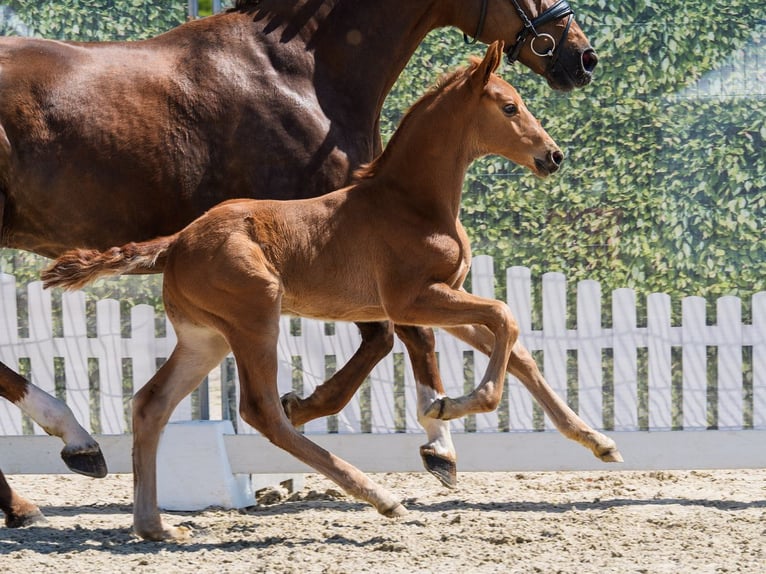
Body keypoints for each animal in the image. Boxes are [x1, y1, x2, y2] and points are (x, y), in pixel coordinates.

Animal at [1, 0, 609, 519]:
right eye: (509, 106)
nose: (582, 58)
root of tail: (176, 243)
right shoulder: (411, 297)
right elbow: (441, 334)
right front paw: (440, 427)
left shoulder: (440, 294)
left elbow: (510, 345)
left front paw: (596, 441)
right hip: (255, 318)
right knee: (257, 409)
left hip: (207, 333)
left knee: (151, 401)